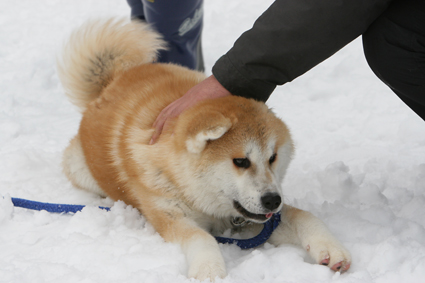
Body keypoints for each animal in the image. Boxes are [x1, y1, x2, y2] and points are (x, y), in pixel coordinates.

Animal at [58, 18, 350, 282]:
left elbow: (304, 216)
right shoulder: (170, 215)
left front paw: (330, 247)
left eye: (272, 158)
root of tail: (114, 79)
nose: (272, 200)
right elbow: (201, 237)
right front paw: (209, 270)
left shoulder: (257, 220)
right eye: (241, 161)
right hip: (80, 168)